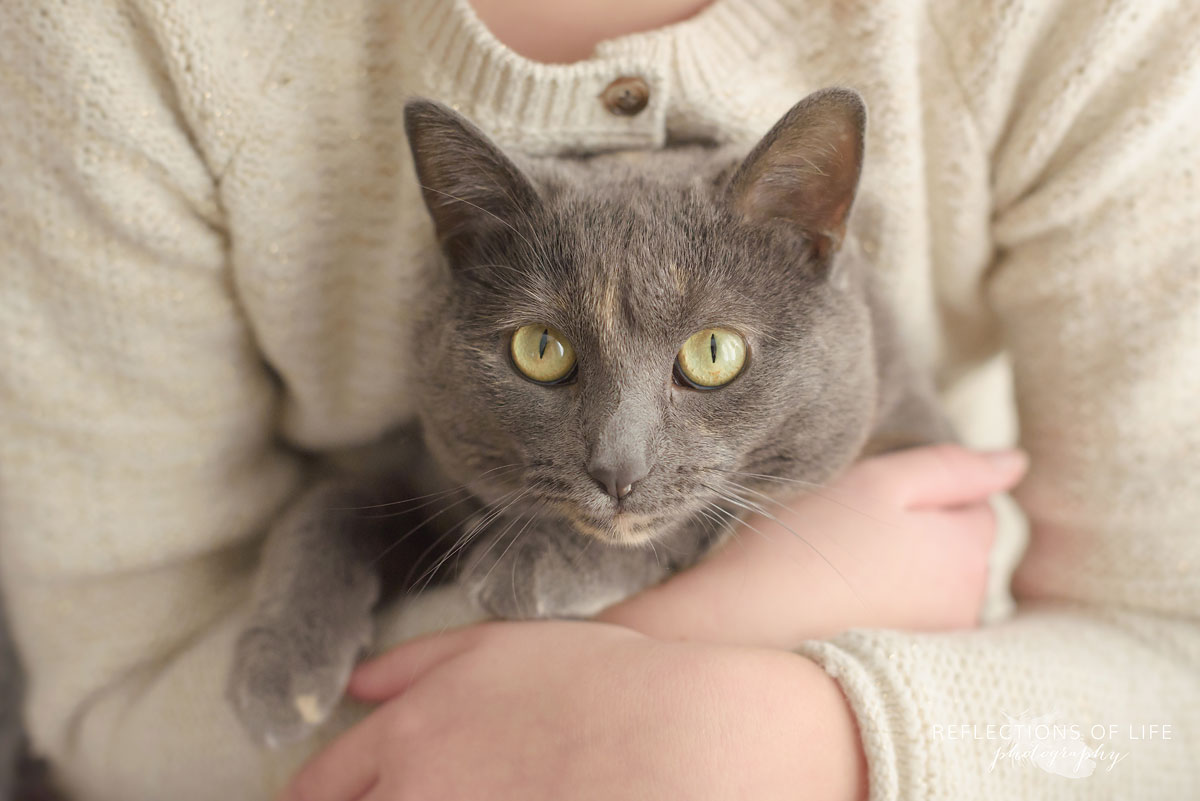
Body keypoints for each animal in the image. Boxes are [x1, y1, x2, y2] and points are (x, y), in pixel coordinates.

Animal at [229, 90, 950, 748]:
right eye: (540, 348)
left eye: (714, 352)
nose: (616, 470)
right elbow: (333, 496)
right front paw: (280, 668)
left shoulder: (910, 433)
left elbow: (713, 517)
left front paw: (531, 562)